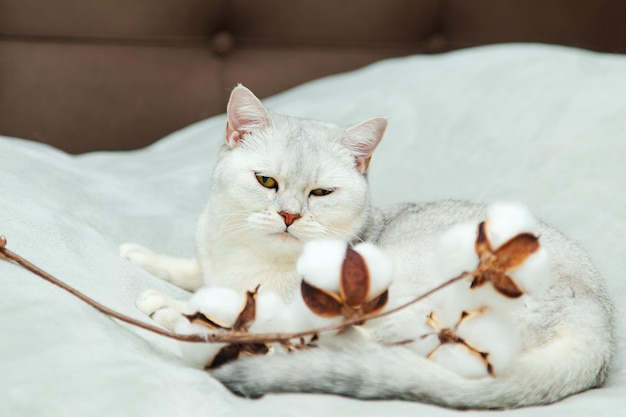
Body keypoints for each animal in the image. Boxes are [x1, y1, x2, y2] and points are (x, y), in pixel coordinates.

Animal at [119, 83, 612, 406]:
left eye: (321, 193)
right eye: (266, 182)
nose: (289, 215)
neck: (252, 256)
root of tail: (599, 329)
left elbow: (239, 305)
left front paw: (174, 304)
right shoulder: (213, 259)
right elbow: (193, 269)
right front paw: (143, 257)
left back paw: (186, 323)